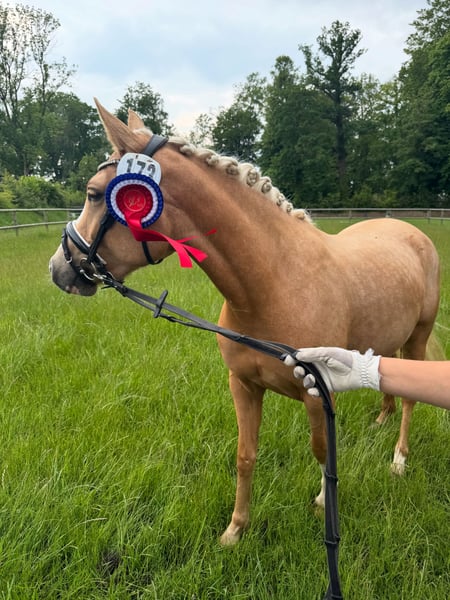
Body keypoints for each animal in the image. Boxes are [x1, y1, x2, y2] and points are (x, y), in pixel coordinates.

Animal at [49, 99, 440, 546]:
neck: (275, 283)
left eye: (95, 194)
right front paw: (235, 530)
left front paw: (322, 502)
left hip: (418, 337)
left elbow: (322, 451)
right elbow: (245, 455)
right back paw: (381, 420)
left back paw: (398, 461)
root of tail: (406, 228)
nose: (59, 268)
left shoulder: (316, 395)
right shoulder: (243, 385)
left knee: (410, 401)